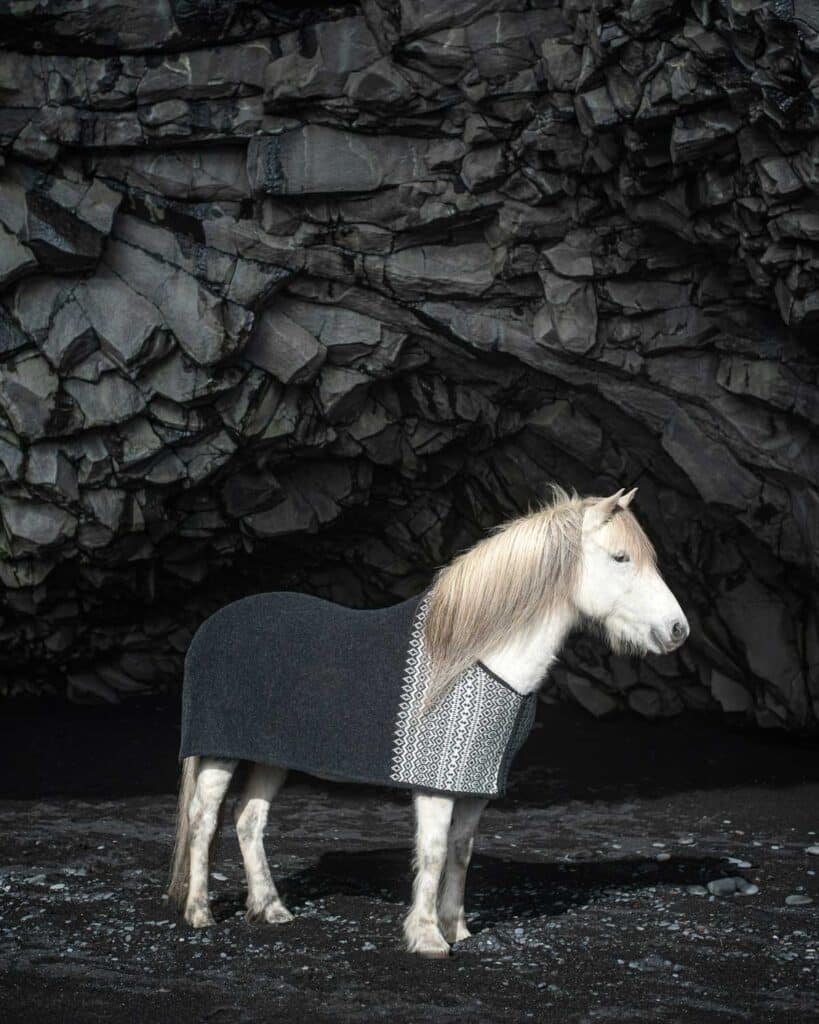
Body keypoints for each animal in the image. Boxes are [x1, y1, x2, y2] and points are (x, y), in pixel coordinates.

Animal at [167, 486, 689, 957]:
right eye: (620, 557)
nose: (678, 630)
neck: (475, 655)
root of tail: (212, 625)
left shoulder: (475, 788)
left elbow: (460, 851)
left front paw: (457, 928)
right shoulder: (435, 785)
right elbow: (434, 851)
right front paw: (427, 937)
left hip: (273, 757)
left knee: (249, 820)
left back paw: (270, 908)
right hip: (218, 753)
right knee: (204, 819)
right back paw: (200, 913)